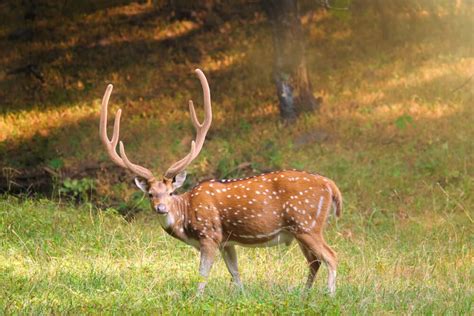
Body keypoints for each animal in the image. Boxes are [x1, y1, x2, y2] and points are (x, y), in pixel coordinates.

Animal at [99, 68, 340, 296]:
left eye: (170, 192)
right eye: (150, 194)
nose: (160, 207)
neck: (186, 217)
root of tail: (330, 185)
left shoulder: (210, 235)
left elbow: (202, 275)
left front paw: (196, 298)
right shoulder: (227, 242)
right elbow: (235, 274)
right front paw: (242, 296)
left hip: (306, 224)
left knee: (331, 256)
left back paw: (329, 295)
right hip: (300, 230)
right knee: (314, 261)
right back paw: (304, 294)